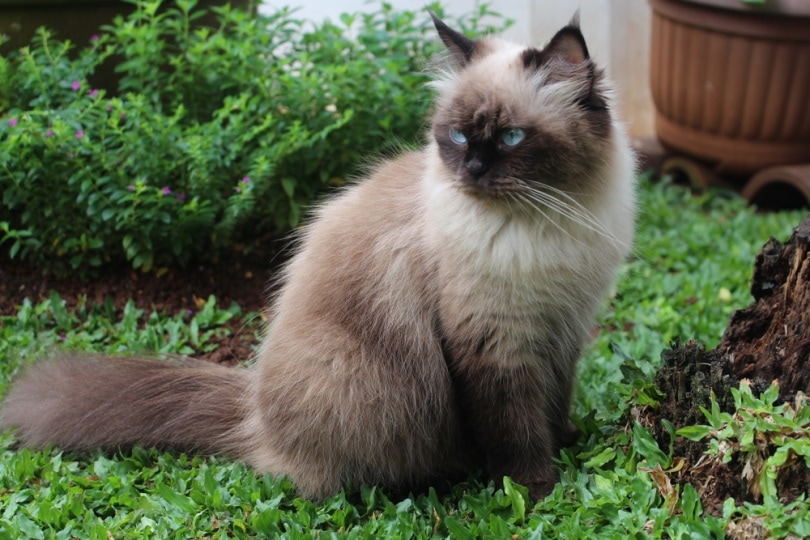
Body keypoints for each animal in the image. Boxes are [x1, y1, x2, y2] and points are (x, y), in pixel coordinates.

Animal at [0, 13, 636, 502]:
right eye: (457, 137)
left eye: (509, 139)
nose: (473, 170)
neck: (544, 224)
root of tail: (252, 414)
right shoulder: (496, 342)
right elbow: (516, 426)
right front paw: (536, 487)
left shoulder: (563, 327)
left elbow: (554, 401)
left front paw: (569, 440)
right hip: (364, 381)